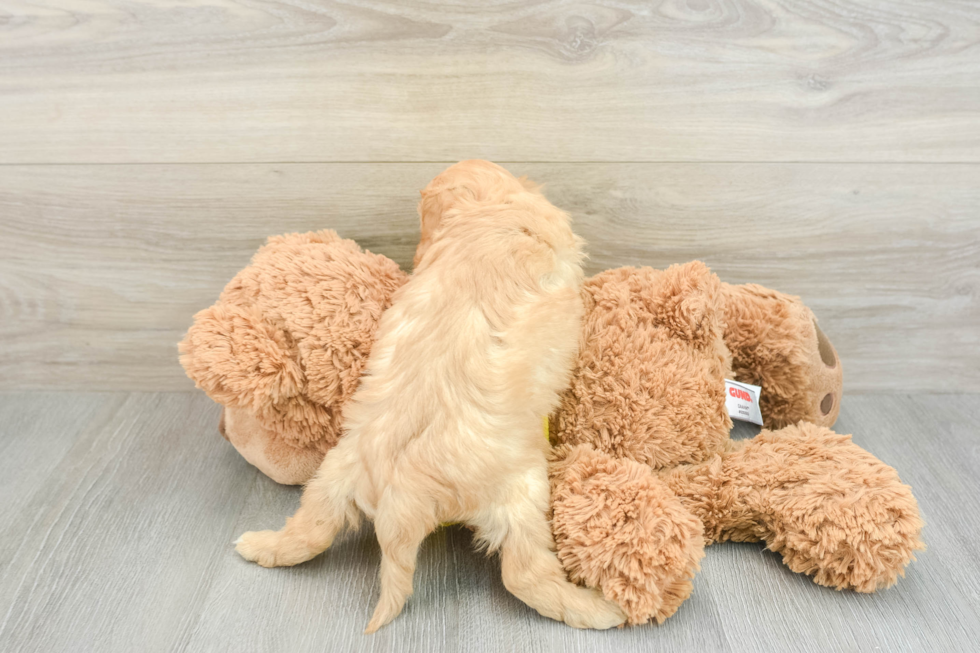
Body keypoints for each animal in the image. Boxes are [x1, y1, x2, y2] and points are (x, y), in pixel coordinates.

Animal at [234, 162, 624, 632]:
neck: (492, 207)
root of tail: (401, 494)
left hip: (333, 473)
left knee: (311, 529)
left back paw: (260, 546)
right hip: (522, 489)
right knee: (524, 574)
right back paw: (598, 610)